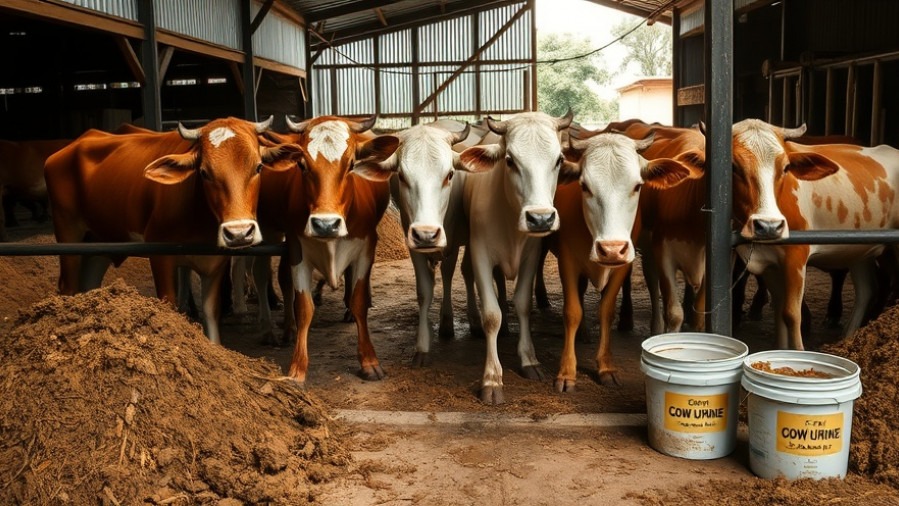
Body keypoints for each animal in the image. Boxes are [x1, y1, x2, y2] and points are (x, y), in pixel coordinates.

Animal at [43, 116, 302, 344]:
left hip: (99, 243)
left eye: (258, 167)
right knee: (68, 286)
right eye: (204, 172)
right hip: (68, 234)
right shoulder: (161, 255)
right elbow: (169, 306)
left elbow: (211, 313)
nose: (239, 233)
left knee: (88, 286)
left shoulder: (216, 262)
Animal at [251, 115, 399, 384]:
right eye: (302, 165)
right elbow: (303, 307)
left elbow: (359, 302)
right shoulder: (297, 249)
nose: (325, 224)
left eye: (351, 164)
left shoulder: (365, 249)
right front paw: (297, 368)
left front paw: (369, 361)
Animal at [449, 110, 573, 404]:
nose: (540, 218)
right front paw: (492, 378)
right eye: (510, 160)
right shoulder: (481, 254)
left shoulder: (531, 256)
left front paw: (529, 359)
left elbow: (523, 304)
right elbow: (491, 314)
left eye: (558, 160)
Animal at [731, 119, 899, 349]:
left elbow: (791, 314)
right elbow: (779, 312)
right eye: (733, 167)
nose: (769, 225)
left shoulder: (796, 257)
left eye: (786, 168)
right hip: (857, 249)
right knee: (867, 290)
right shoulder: (769, 263)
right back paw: (847, 338)